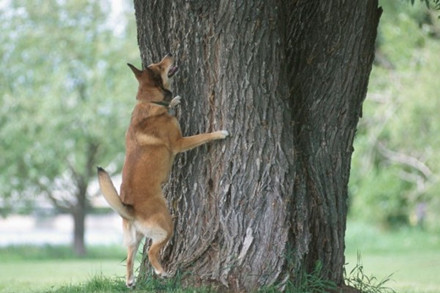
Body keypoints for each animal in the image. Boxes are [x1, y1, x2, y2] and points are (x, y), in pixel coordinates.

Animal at [97, 53, 229, 286]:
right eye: (159, 66)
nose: (169, 55)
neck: (149, 102)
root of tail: (129, 208)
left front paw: (174, 100)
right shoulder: (179, 142)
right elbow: (203, 136)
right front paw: (219, 133)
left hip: (134, 238)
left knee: (130, 257)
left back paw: (130, 281)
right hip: (166, 227)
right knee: (151, 252)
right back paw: (162, 272)